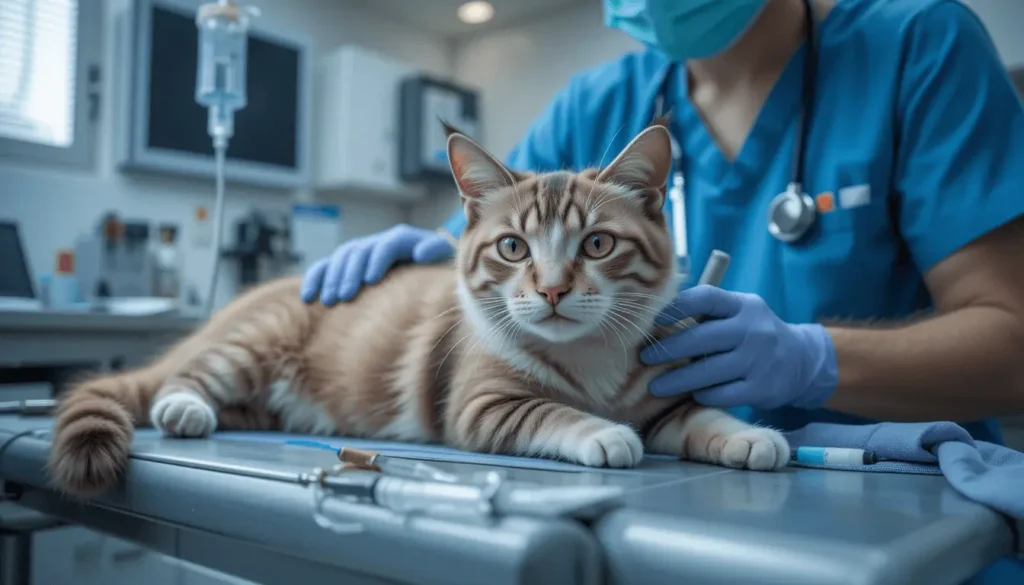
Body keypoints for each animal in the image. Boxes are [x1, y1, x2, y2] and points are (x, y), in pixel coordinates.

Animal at [46, 118, 790, 499]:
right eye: (513, 247)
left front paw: (746, 433)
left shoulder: (664, 392)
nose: (552, 289)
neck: (589, 358)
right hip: (250, 346)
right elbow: (552, 412)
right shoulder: (481, 406)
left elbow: (699, 415)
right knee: (182, 380)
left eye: (598, 243)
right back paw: (184, 406)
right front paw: (601, 432)